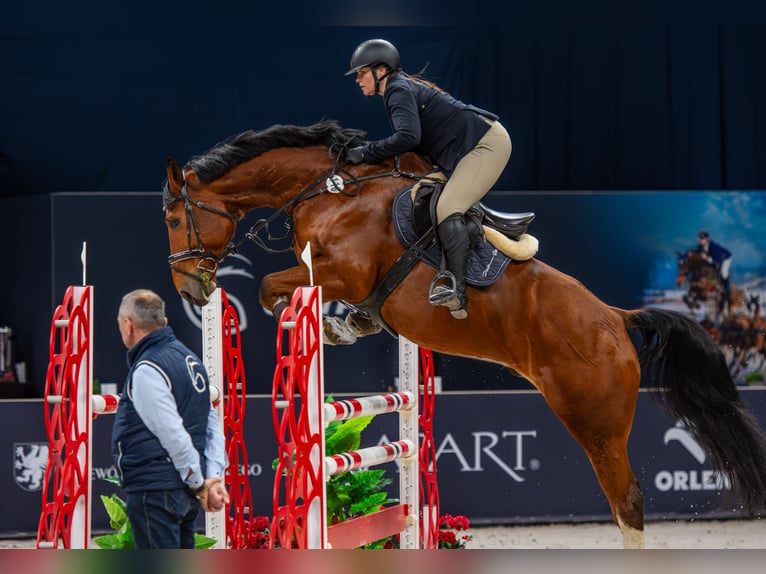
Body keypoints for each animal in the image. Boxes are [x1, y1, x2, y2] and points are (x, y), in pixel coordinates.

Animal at [162, 120, 766, 548]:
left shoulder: (343, 273)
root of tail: (616, 318)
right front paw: (350, 322)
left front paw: (324, 327)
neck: (331, 190)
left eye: (171, 218)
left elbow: (271, 287)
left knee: (629, 503)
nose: (190, 289)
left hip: (595, 423)